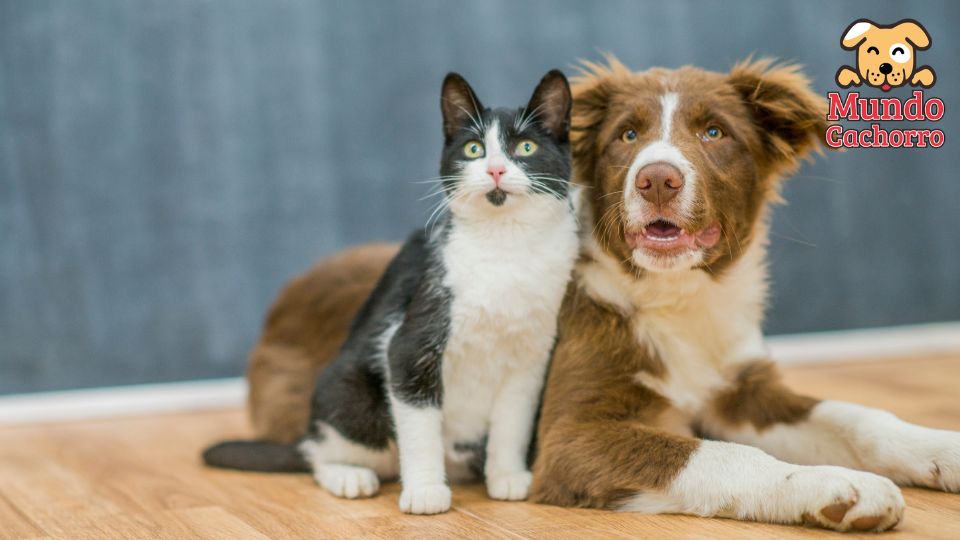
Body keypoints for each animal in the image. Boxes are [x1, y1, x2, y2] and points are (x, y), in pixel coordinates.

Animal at [202, 70, 576, 516]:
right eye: (474, 149)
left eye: (526, 147)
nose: (496, 171)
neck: (505, 247)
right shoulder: (411, 343)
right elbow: (419, 427)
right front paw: (426, 491)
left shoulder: (530, 359)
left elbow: (512, 423)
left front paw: (507, 476)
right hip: (351, 396)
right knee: (319, 453)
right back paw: (348, 475)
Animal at [242, 58, 960, 532]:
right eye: (626, 136)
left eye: (715, 132)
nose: (658, 179)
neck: (671, 300)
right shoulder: (572, 433)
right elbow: (719, 455)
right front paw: (833, 485)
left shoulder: (740, 387)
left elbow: (855, 415)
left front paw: (940, 449)